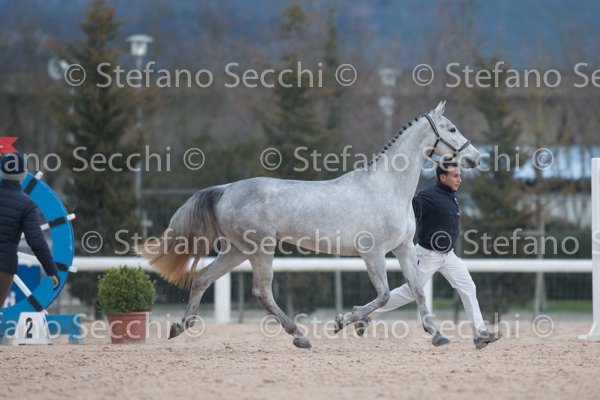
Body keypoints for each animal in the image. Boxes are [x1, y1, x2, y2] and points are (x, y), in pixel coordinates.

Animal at [137, 101, 481, 349]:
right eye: (451, 128)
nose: (476, 158)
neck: (388, 187)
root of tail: (226, 189)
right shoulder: (372, 253)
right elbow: (383, 295)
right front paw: (345, 321)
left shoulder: (403, 248)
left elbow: (417, 290)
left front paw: (437, 334)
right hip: (260, 249)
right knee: (261, 291)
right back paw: (300, 336)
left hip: (237, 250)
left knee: (202, 278)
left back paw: (180, 326)